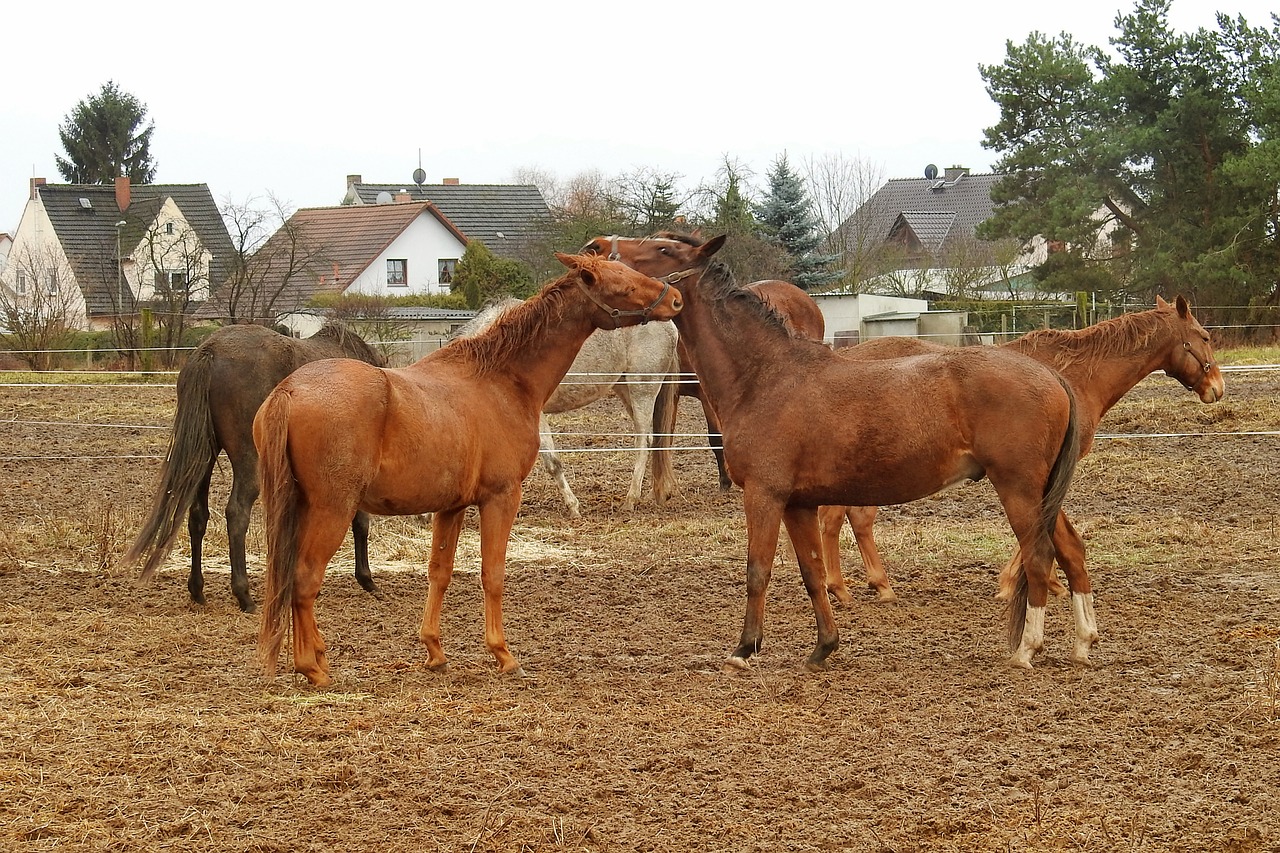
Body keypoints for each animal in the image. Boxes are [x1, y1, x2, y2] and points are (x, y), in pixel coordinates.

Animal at [124, 320, 384, 612]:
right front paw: (366, 579)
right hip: (249, 459)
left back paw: (197, 590)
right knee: (237, 513)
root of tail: (210, 351)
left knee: (198, 515)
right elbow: (360, 520)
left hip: (205, 456)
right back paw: (244, 595)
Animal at [253, 251, 686, 686]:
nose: (676, 299)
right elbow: (492, 573)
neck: (501, 379)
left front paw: (434, 651)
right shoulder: (501, 498)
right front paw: (503, 654)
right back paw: (313, 668)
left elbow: (439, 572)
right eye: (623, 283)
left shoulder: (452, 507)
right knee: (304, 579)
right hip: (333, 510)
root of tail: (289, 390)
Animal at [586, 233, 1080, 671]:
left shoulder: (764, 495)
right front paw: (824, 646)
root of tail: (1051, 376)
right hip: (1040, 494)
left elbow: (757, 570)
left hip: (1018, 489)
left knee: (1039, 557)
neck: (764, 377)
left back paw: (1026, 650)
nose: (597, 247)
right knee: (1071, 550)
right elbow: (812, 572)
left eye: (663, 249)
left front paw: (745, 649)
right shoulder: (798, 504)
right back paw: (1083, 643)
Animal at [814, 297, 1223, 655]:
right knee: (837, 520)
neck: (1073, 375)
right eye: (1204, 336)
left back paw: (869, 585)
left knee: (852, 520)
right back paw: (846, 587)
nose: (1217, 388)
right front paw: (1018, 584)